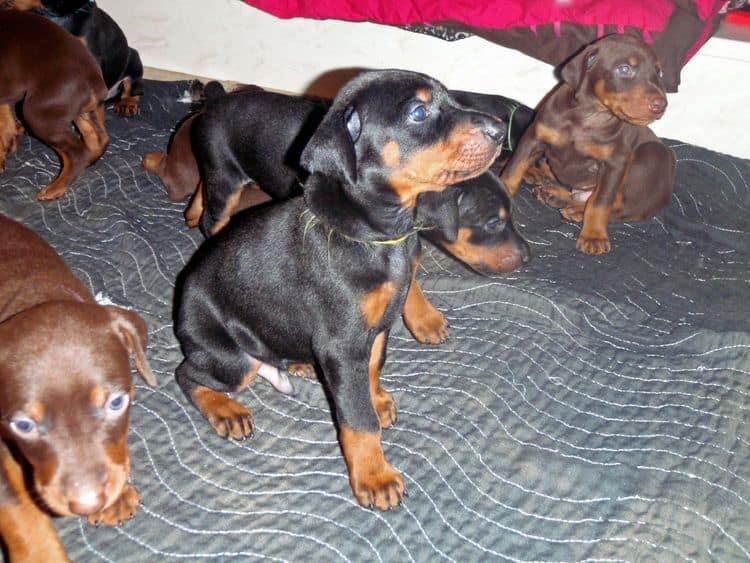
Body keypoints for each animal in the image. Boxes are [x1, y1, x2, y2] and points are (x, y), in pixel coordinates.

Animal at [0, 8, 108, 200]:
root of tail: (94, 79)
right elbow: (5, 126)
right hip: (81, 113)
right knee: (98, 140)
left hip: (38, 113)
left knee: (78, 152)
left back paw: (55, 188)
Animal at [0, 214, 156, 560]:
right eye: (23, 425)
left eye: (116, 403)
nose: (87, 503)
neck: (33, 294)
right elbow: (18, 510)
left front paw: (117, 496)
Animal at [176, 69, 506, 512]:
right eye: (418, 113)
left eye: (452, 98)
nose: (499, 130)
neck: (375, 237)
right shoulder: (344, 341)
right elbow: (357, 419)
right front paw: (375, 477)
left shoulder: (376, 327)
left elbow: (372, 367)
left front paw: (377, 400)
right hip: (230, 356)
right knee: (189, 374)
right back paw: (226, 410)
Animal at [502, 34, 680, 254]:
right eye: (624, 69)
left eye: (659, 72)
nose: (661, 105)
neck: (588, 116)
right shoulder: (534, 136)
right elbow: (513, 168)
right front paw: (502, 188)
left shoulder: (614, 163)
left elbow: (601, 202)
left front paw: (594, 235)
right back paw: (549, 188)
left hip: (651, 156)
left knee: (619, 206)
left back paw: (575, 210)